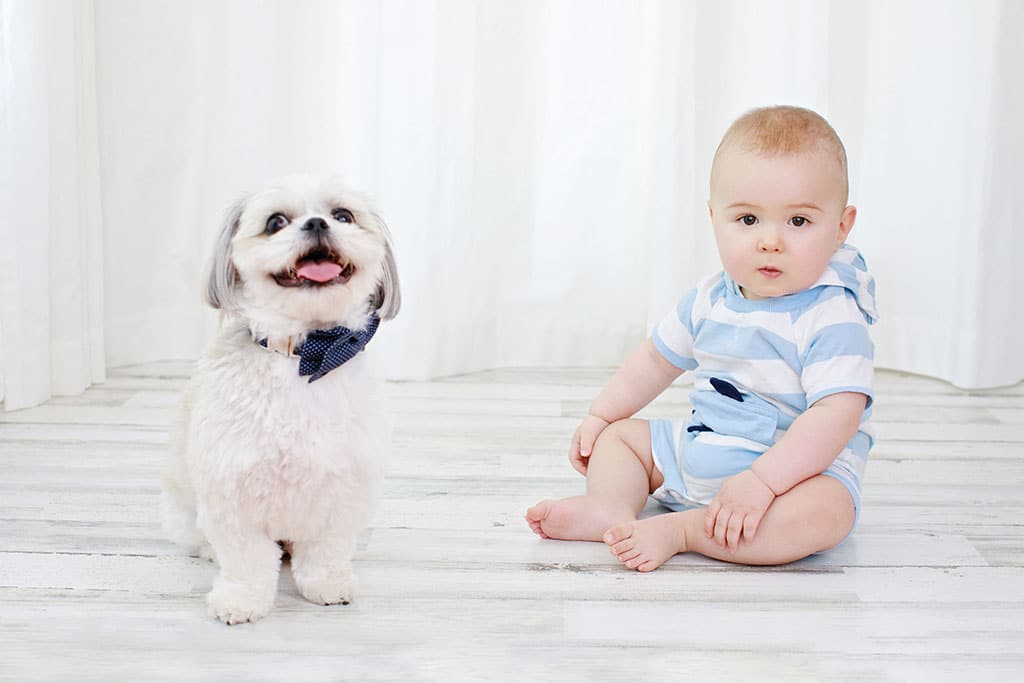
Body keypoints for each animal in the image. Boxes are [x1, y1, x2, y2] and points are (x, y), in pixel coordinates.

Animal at [159, 176, 399, 626]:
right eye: (275, 222)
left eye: (343, 215)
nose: (318, 223)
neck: (303, 357)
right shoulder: (232, 492)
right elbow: (247, 561)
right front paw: (240, 599)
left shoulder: (343, 488)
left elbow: (325, 551)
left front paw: (328, 585)